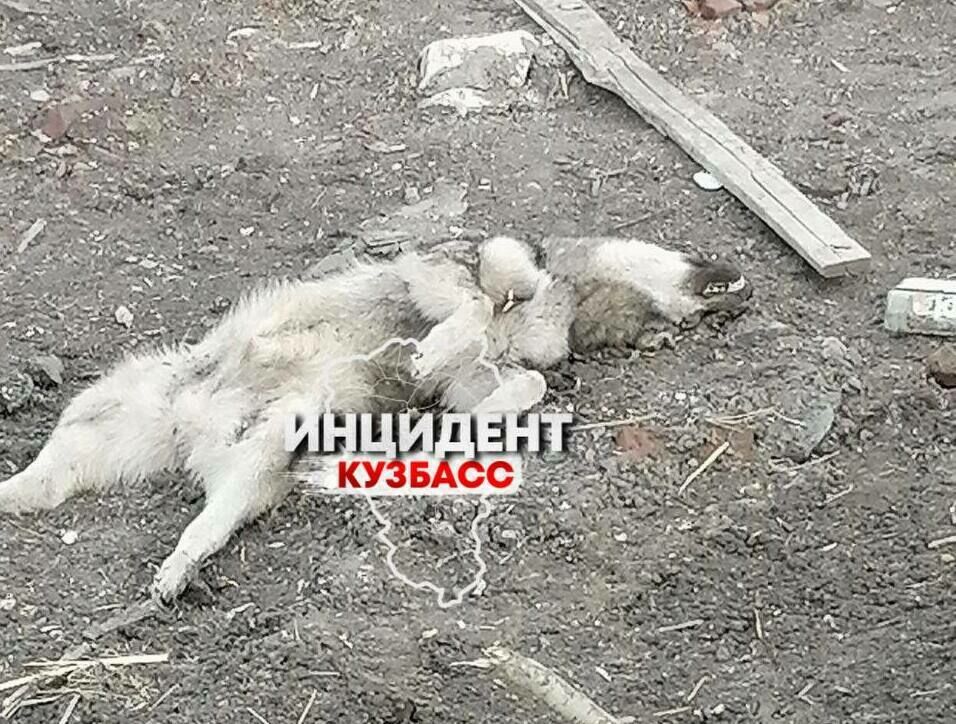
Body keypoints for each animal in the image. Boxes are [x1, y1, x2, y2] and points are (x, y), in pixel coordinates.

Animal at [0, 235, 752, 602]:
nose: (742, 287)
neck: (569, 300)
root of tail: (193, 426)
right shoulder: (462, 269)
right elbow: (482, 292)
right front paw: (434, 345)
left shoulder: (487, 371)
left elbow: (520, 378)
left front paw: (464, 403)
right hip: (120, 398)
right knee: (54, 465)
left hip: (254, 458)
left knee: (205, 513)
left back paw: (179, 563)